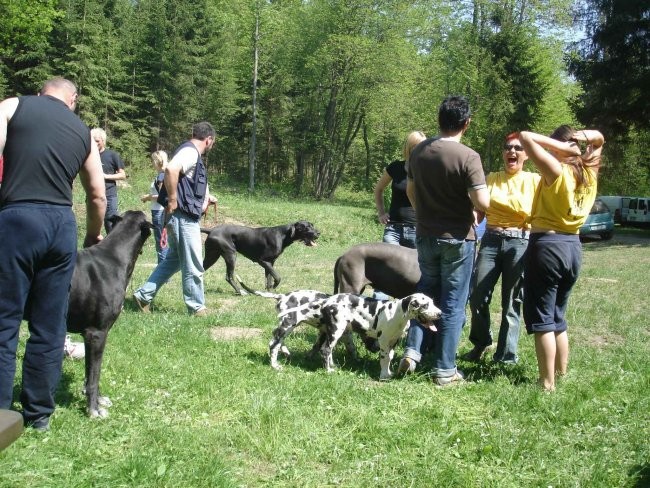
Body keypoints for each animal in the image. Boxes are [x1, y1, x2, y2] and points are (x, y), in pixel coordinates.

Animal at [66, 212, 152, 418]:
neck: (114, 257)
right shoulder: (97, 333)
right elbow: (94, 376)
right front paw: (93, 409)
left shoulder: (89, 336)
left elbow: (90, 372)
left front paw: (97, 400)